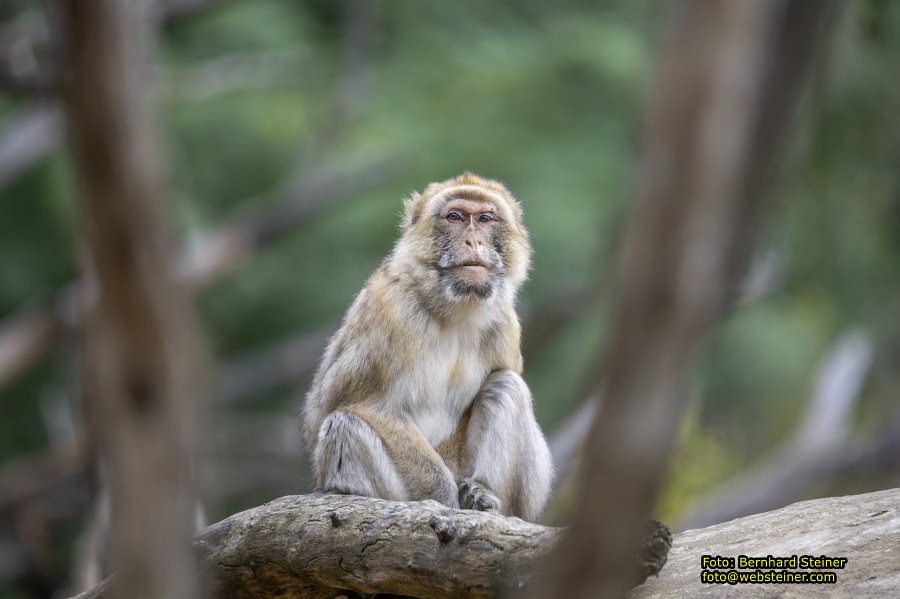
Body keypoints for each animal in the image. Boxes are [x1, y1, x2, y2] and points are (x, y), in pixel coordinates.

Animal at [302, 172, 552, 520]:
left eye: (485, 218)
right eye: (456, 216)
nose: (473, 242)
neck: (454, 308)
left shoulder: (506, 324)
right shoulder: (392, 313)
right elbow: (370, 408)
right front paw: (443, 500)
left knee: (506, 385)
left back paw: (482, 496)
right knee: (344, 425)